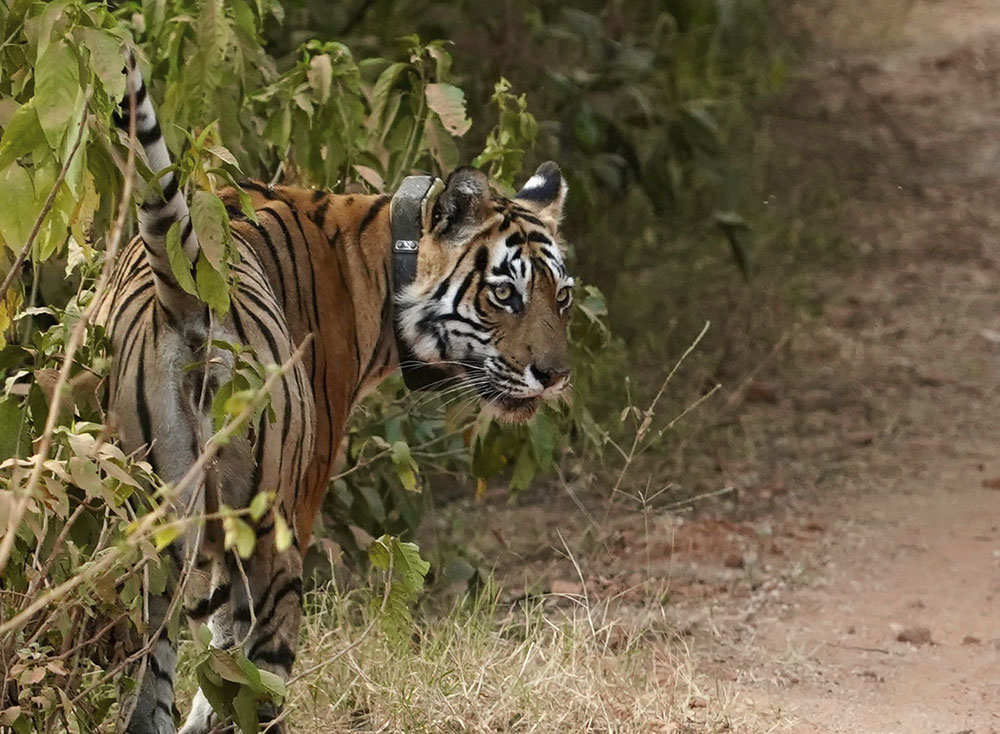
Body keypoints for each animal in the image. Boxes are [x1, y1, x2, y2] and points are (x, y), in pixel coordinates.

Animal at [96, 53, 574, 734]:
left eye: (562, 298)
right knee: (254, 681)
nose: (554, 376)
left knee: (148, 691)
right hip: (272, 535)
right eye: (505, 294)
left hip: (147, 532)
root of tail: (185, 294)